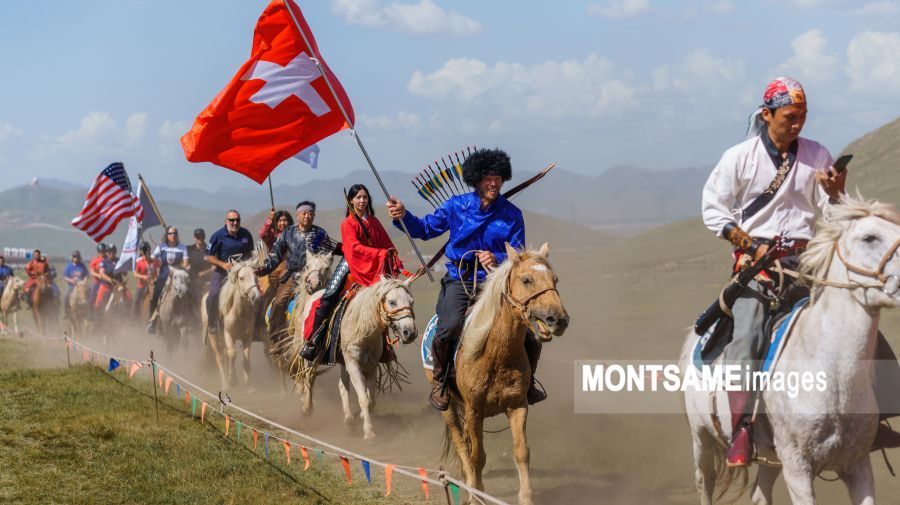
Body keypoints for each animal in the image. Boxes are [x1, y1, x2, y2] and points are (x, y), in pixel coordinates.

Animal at [201, 246, 265, 391]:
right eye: (241, 278)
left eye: (256, 275)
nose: (256, 297)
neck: (239, 313)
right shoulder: (228, 334)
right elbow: (232, 353)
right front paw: (232, 379)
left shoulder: (248, 337)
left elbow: (246, 360)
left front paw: (249, 387)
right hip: (213, 337)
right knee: (220, 357)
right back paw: (225, 384)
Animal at [287, 276, 417, 439]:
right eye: (392, 301)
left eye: (411, 301)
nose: (410, 332)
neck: (365, 329)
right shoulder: (354, 365)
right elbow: (363, 398)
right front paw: (369, 432)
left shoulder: (370, 367)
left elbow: (370, 399)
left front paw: (361, 417)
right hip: (312, 356)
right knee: (309, 378)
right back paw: (307, 407)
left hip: (344, 362)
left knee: (342, 386)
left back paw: (348, 418)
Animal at [437, 243, 569, 505]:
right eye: (526, 280)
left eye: (555, 279)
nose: (558, 319)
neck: (495, 356)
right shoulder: (474, 411)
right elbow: (477, 457)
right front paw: (476, 495)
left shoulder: (518, 405)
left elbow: (522, 452)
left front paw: (526, 497)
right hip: (449, 409)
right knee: (461, 443)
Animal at [682, 194, 900, 505]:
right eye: (870, 237)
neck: (830, 375)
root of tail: (696, 335)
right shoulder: (798, 469)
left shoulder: (857, 464)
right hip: (702, 438)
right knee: (705, 483)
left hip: (769, 456)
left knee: (759, 494)